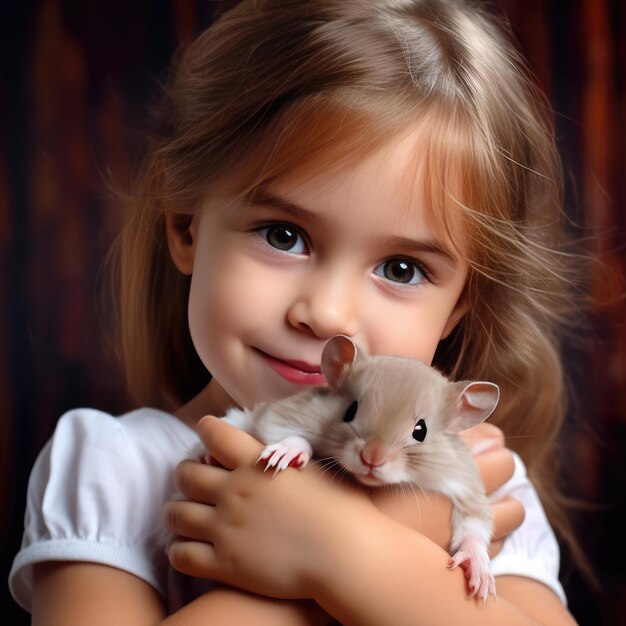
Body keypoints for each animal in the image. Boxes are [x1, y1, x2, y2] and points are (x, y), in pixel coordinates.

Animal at [184, 334, 498, 604]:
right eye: (350, 411)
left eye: (421, 431)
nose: (372, 459)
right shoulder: (281, 417)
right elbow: (289, 434)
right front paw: (286, 454)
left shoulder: (464, 486)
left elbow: (474, 528)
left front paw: (481, 581)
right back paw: (202, 454)